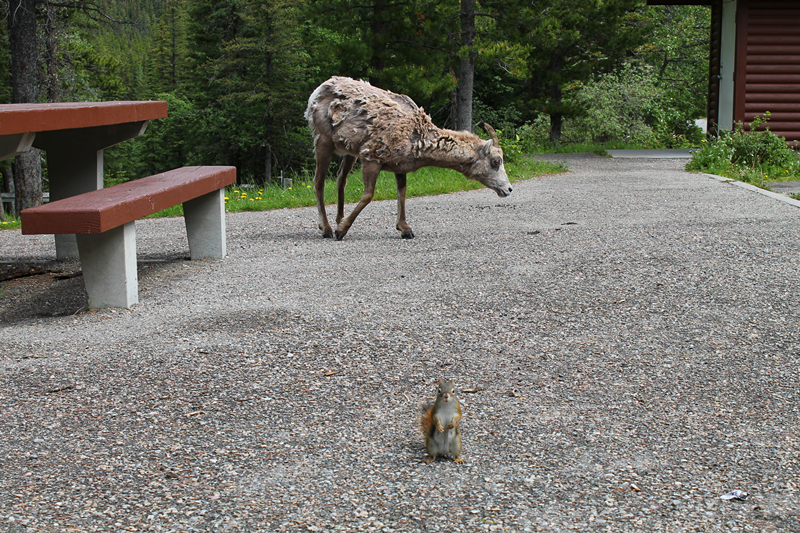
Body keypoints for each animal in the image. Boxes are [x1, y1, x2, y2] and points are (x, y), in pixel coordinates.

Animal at [304, 75, 510, 239]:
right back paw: (327, 229)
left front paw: (405, 230)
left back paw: (338, 219)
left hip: (349, 152)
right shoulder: (371, 159)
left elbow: (401, 192)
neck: (418, 136)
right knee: (318, 182)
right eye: (496, 161)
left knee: (341, 180)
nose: (508, 189)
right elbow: (368, 195)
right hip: (323, 142)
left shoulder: (399, 167)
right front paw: (341, 231)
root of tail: (319, 90)